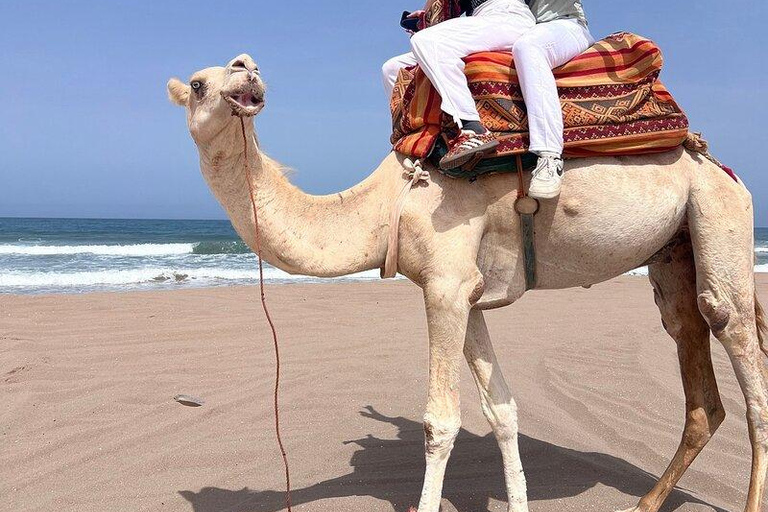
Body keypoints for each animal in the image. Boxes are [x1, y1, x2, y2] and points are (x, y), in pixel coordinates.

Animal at [167, 53, 768, 512]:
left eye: (224, 73)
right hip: (676, 247)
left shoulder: (445, 283)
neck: (386, 205)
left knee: (735, 339)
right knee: (691, 352)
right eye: (198, 84)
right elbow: (502, 410)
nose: (246, 72)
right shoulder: (468, 295)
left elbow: (440, 421)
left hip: (718, 212)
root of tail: (717, 162)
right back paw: (645, 502)